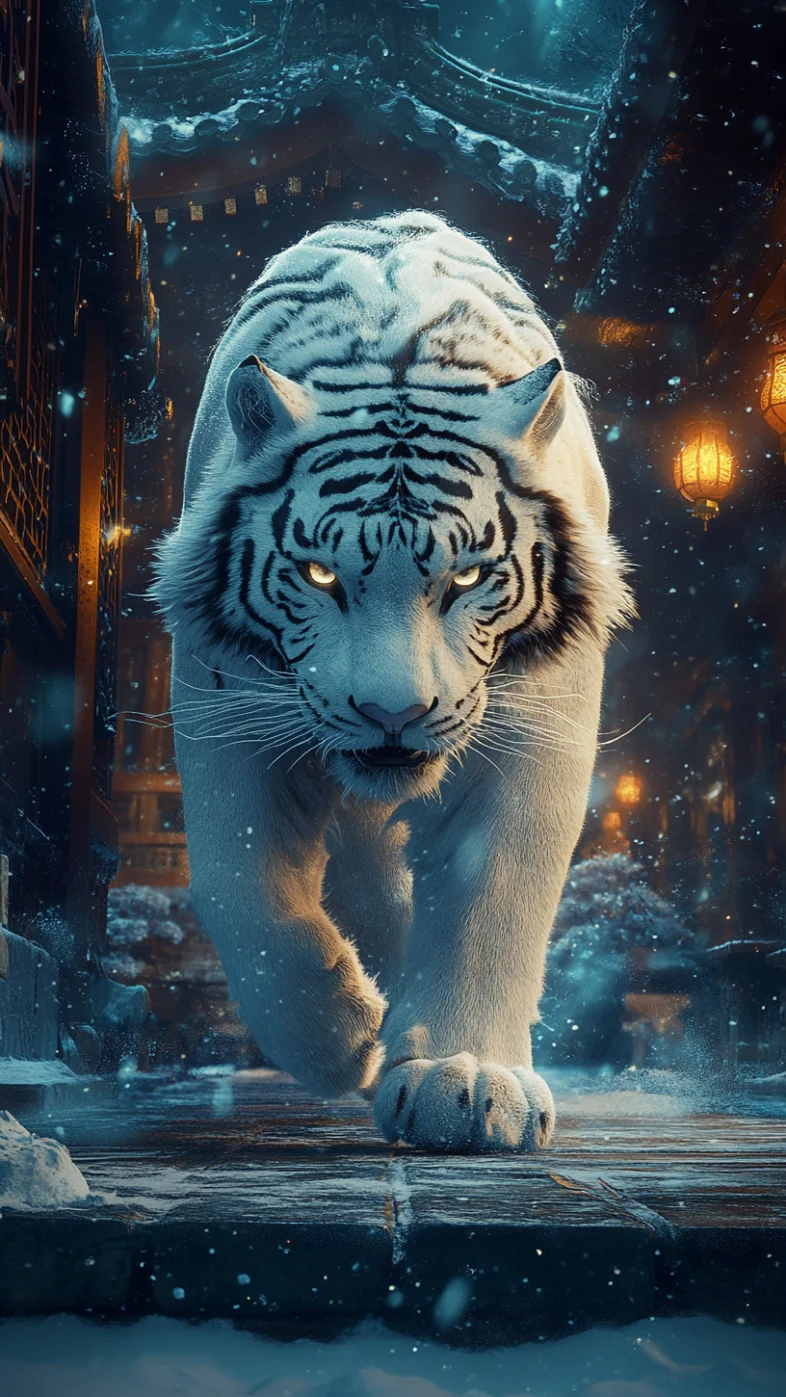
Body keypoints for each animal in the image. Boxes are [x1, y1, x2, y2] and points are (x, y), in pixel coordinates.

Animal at [154, 211, 632, 1152]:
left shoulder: (536, 722)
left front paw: (468, 1078)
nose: (392, 713)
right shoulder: (228, 716)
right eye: (318, 575)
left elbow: (493, 886)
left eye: (468, 577)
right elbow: (239, 886)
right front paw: (342, 1039)